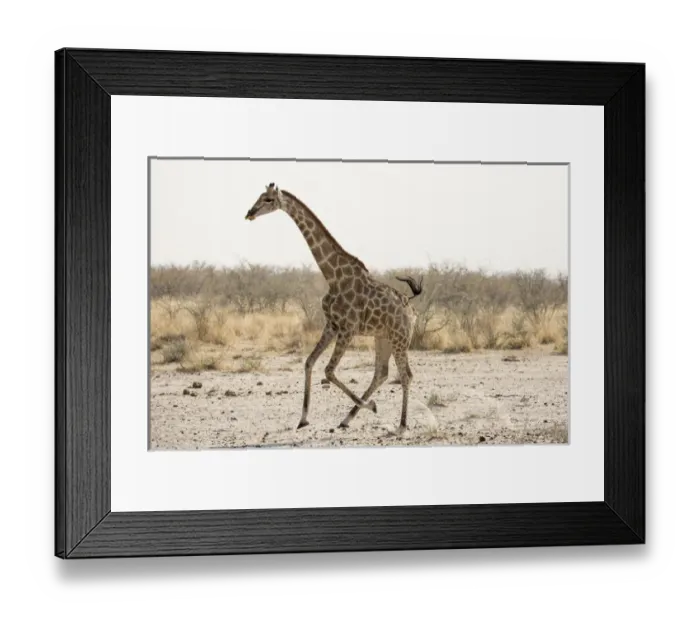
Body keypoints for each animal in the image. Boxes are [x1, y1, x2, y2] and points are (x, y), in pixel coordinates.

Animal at [245, 183, 423, 434]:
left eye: (269, 199)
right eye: (259, 197)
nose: (249, 213)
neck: (333, 276)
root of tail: (412, 311)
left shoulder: (347, 329)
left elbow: (328, 370)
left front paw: (372, 406)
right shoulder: (332, 325)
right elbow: (309, 362)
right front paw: (303, 419)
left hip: (400, 338)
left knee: (405, 375)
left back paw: (401, 426)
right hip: (383, 337)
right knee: (381, 373)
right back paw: (347, 419)